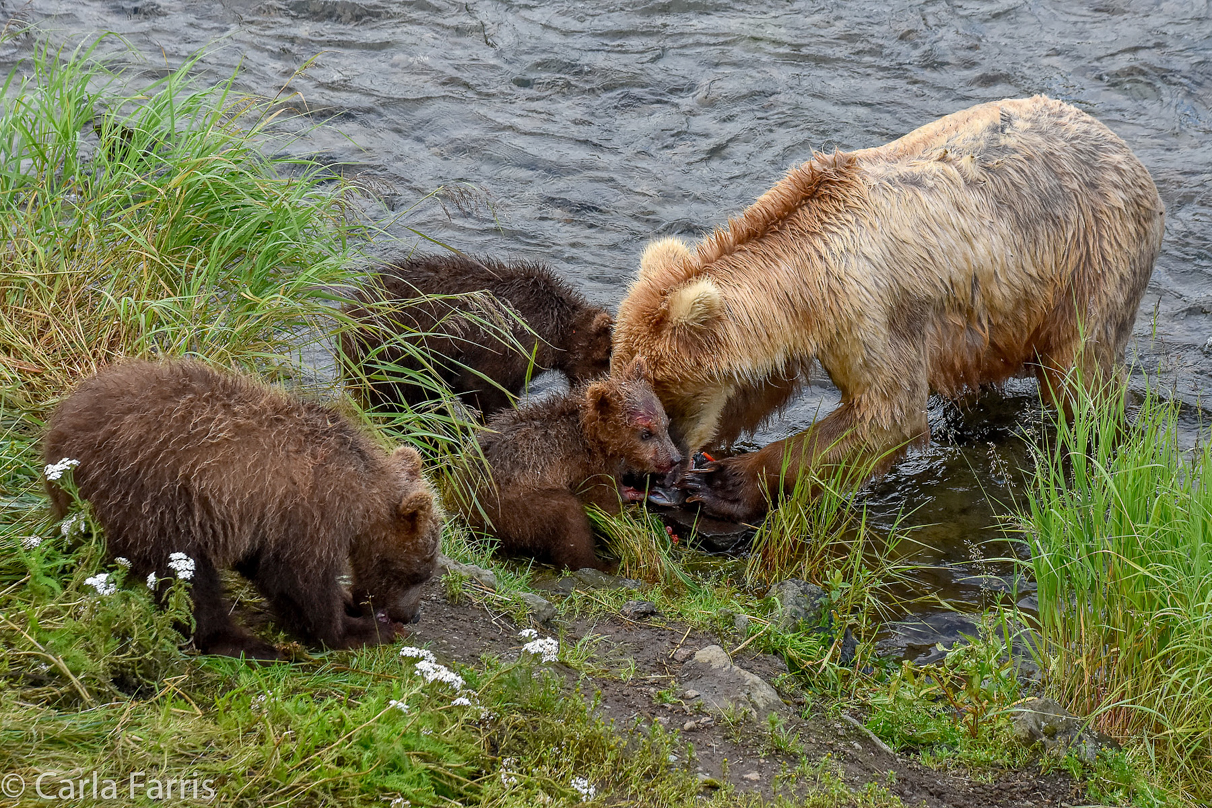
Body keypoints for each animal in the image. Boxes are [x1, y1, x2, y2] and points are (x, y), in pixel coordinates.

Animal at [615, 96, 1163, 525]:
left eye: (663, 401)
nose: (647, 472)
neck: (805, 278)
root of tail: (1123, 146)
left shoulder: (869, 309)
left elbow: (887, 413)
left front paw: (722, 483)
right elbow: (759, 388)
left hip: (1091, 263)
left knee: (1081, 378)